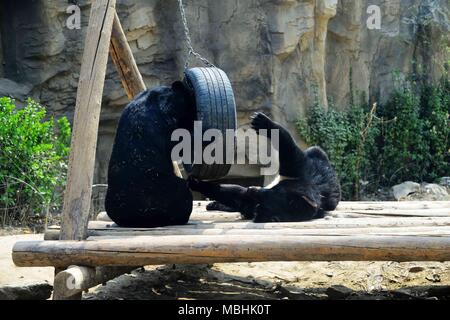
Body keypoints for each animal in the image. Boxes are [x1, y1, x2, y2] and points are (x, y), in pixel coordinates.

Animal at [187, 112, 342, 222]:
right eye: (277, 189)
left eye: (271, 196)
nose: (253, 189)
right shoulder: (304, 173)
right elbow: (290, 153)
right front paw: (263, 121)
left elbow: (238, 196)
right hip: (319, 156)